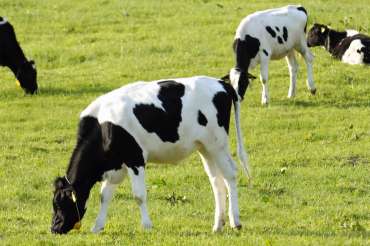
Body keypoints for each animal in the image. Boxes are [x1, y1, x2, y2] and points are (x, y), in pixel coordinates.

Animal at [49, 76, 251, 234]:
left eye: (59, 204)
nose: (54, 228)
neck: (104, 125)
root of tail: (221, 83)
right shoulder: (118, 165)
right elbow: (104, 195)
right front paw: (97, 226)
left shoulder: (135, 158)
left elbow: (139, 195)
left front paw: (147, 225)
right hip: (205, 148)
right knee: (216, 181)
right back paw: (218, 225)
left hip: (218, 144)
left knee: (230, 175)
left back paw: (235, 222)